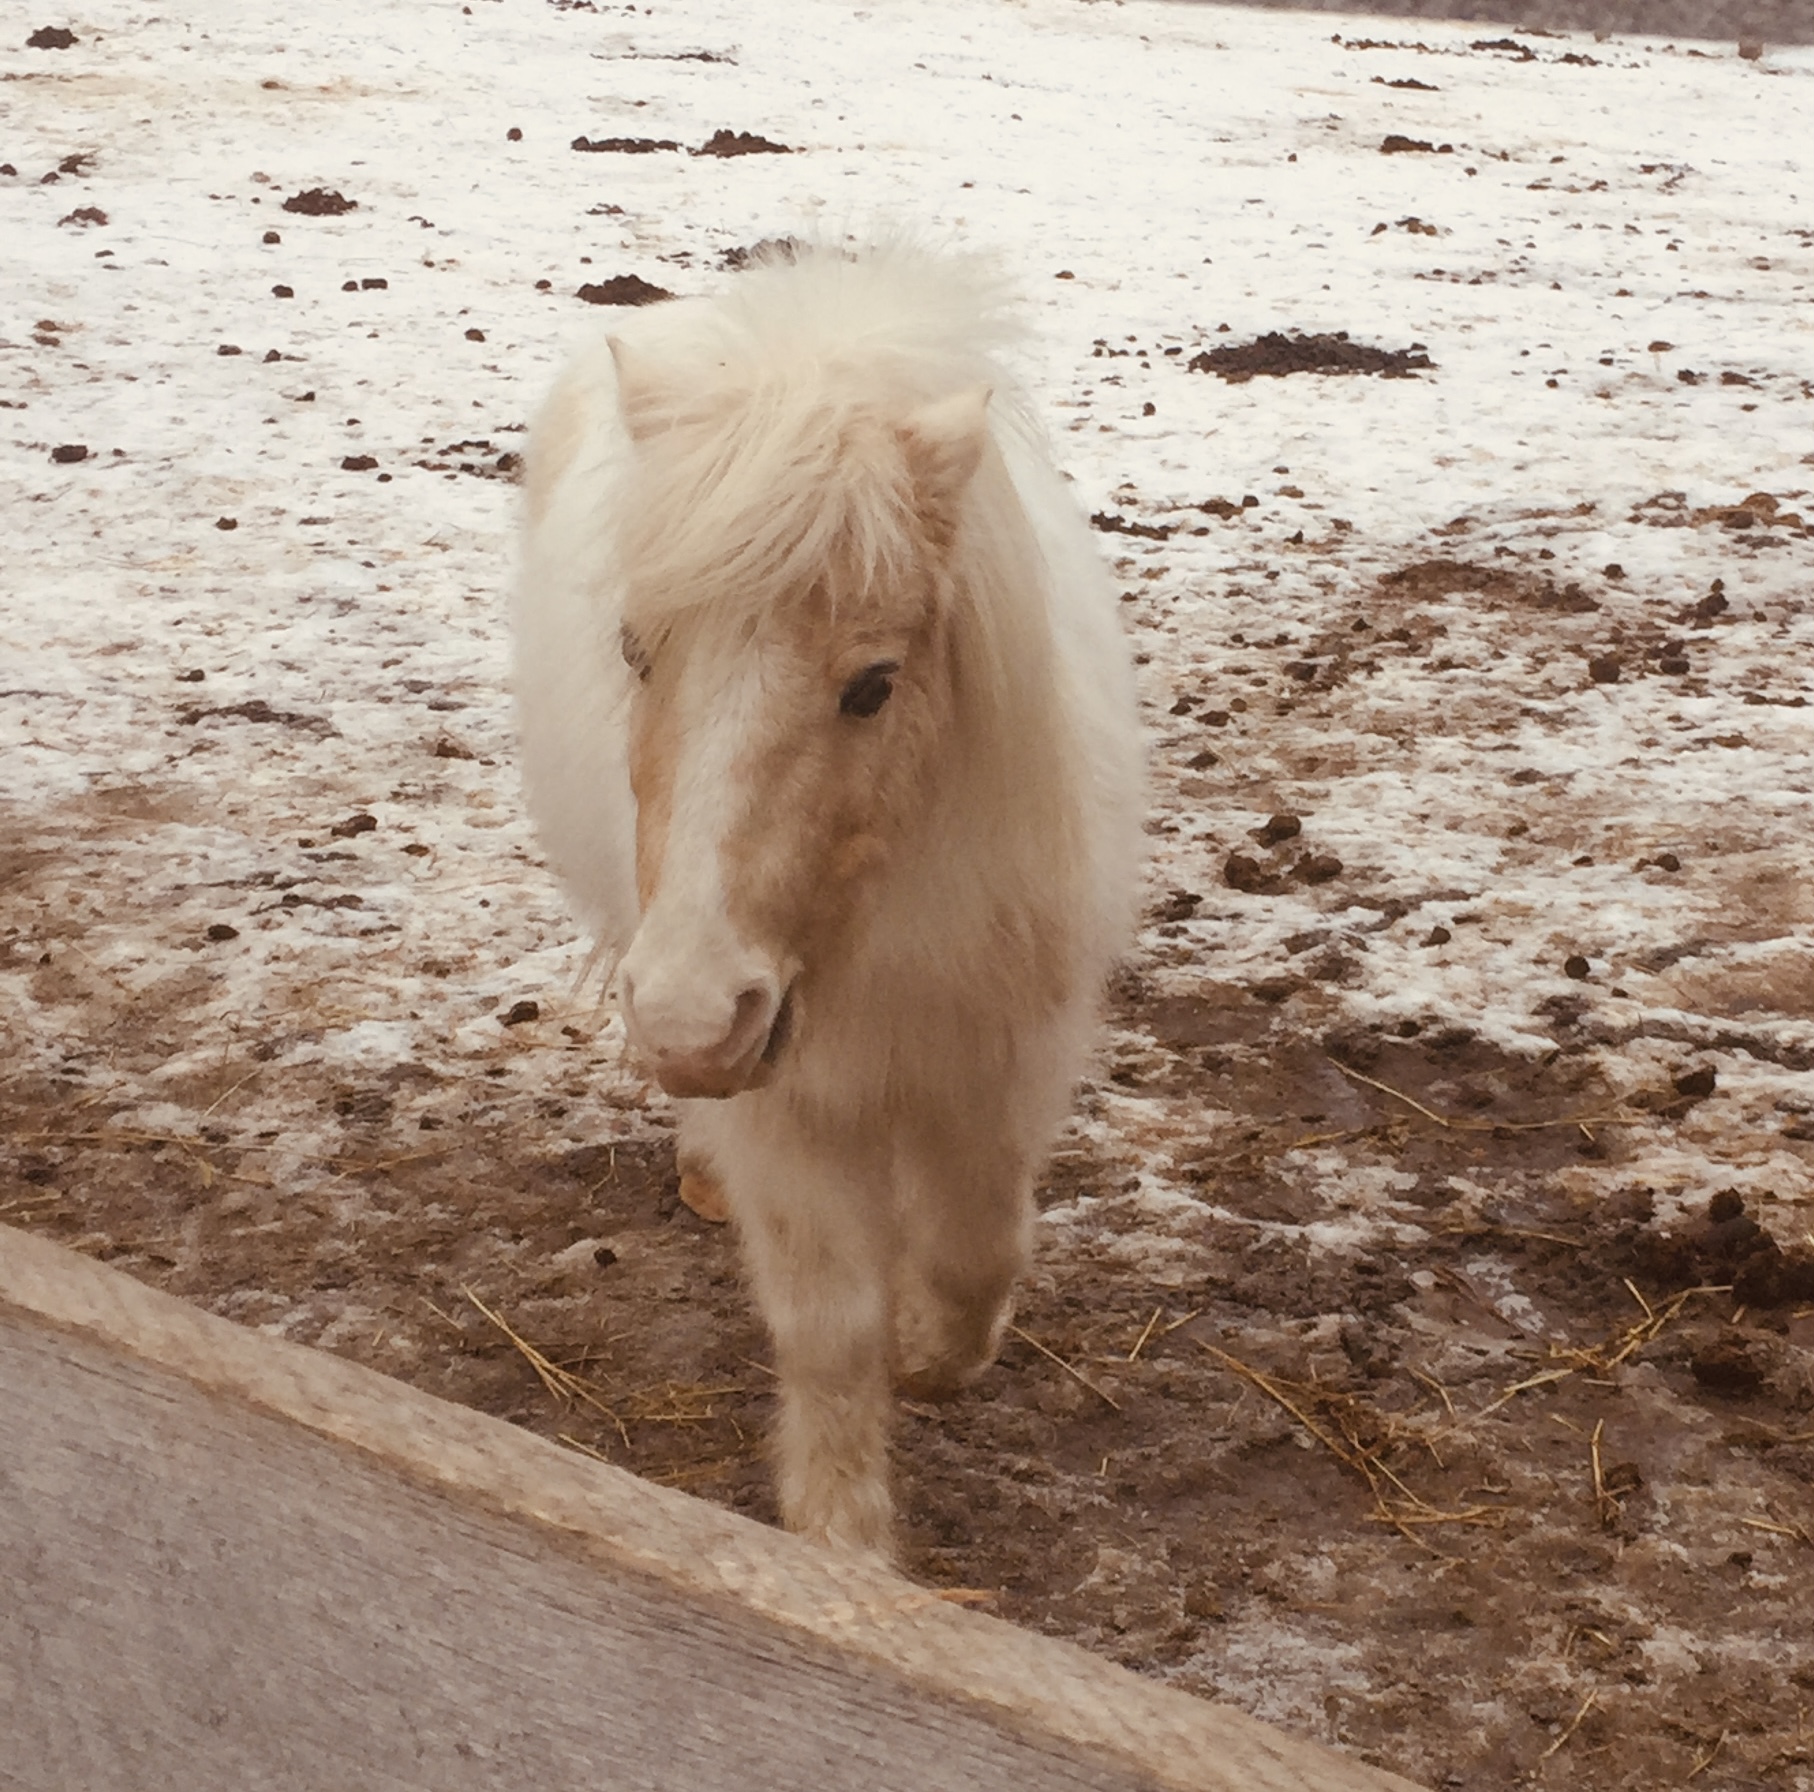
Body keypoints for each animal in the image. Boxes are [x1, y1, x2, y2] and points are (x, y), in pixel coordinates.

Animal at [511, 237, 1139, 1552]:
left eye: (874, 683)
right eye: (636, 650)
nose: (694, 1022)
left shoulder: (1001, 1055)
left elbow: (972, 1254)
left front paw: (930, 1355)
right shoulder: (786, 1105)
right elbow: (828, 1328)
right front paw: (844, 1550)